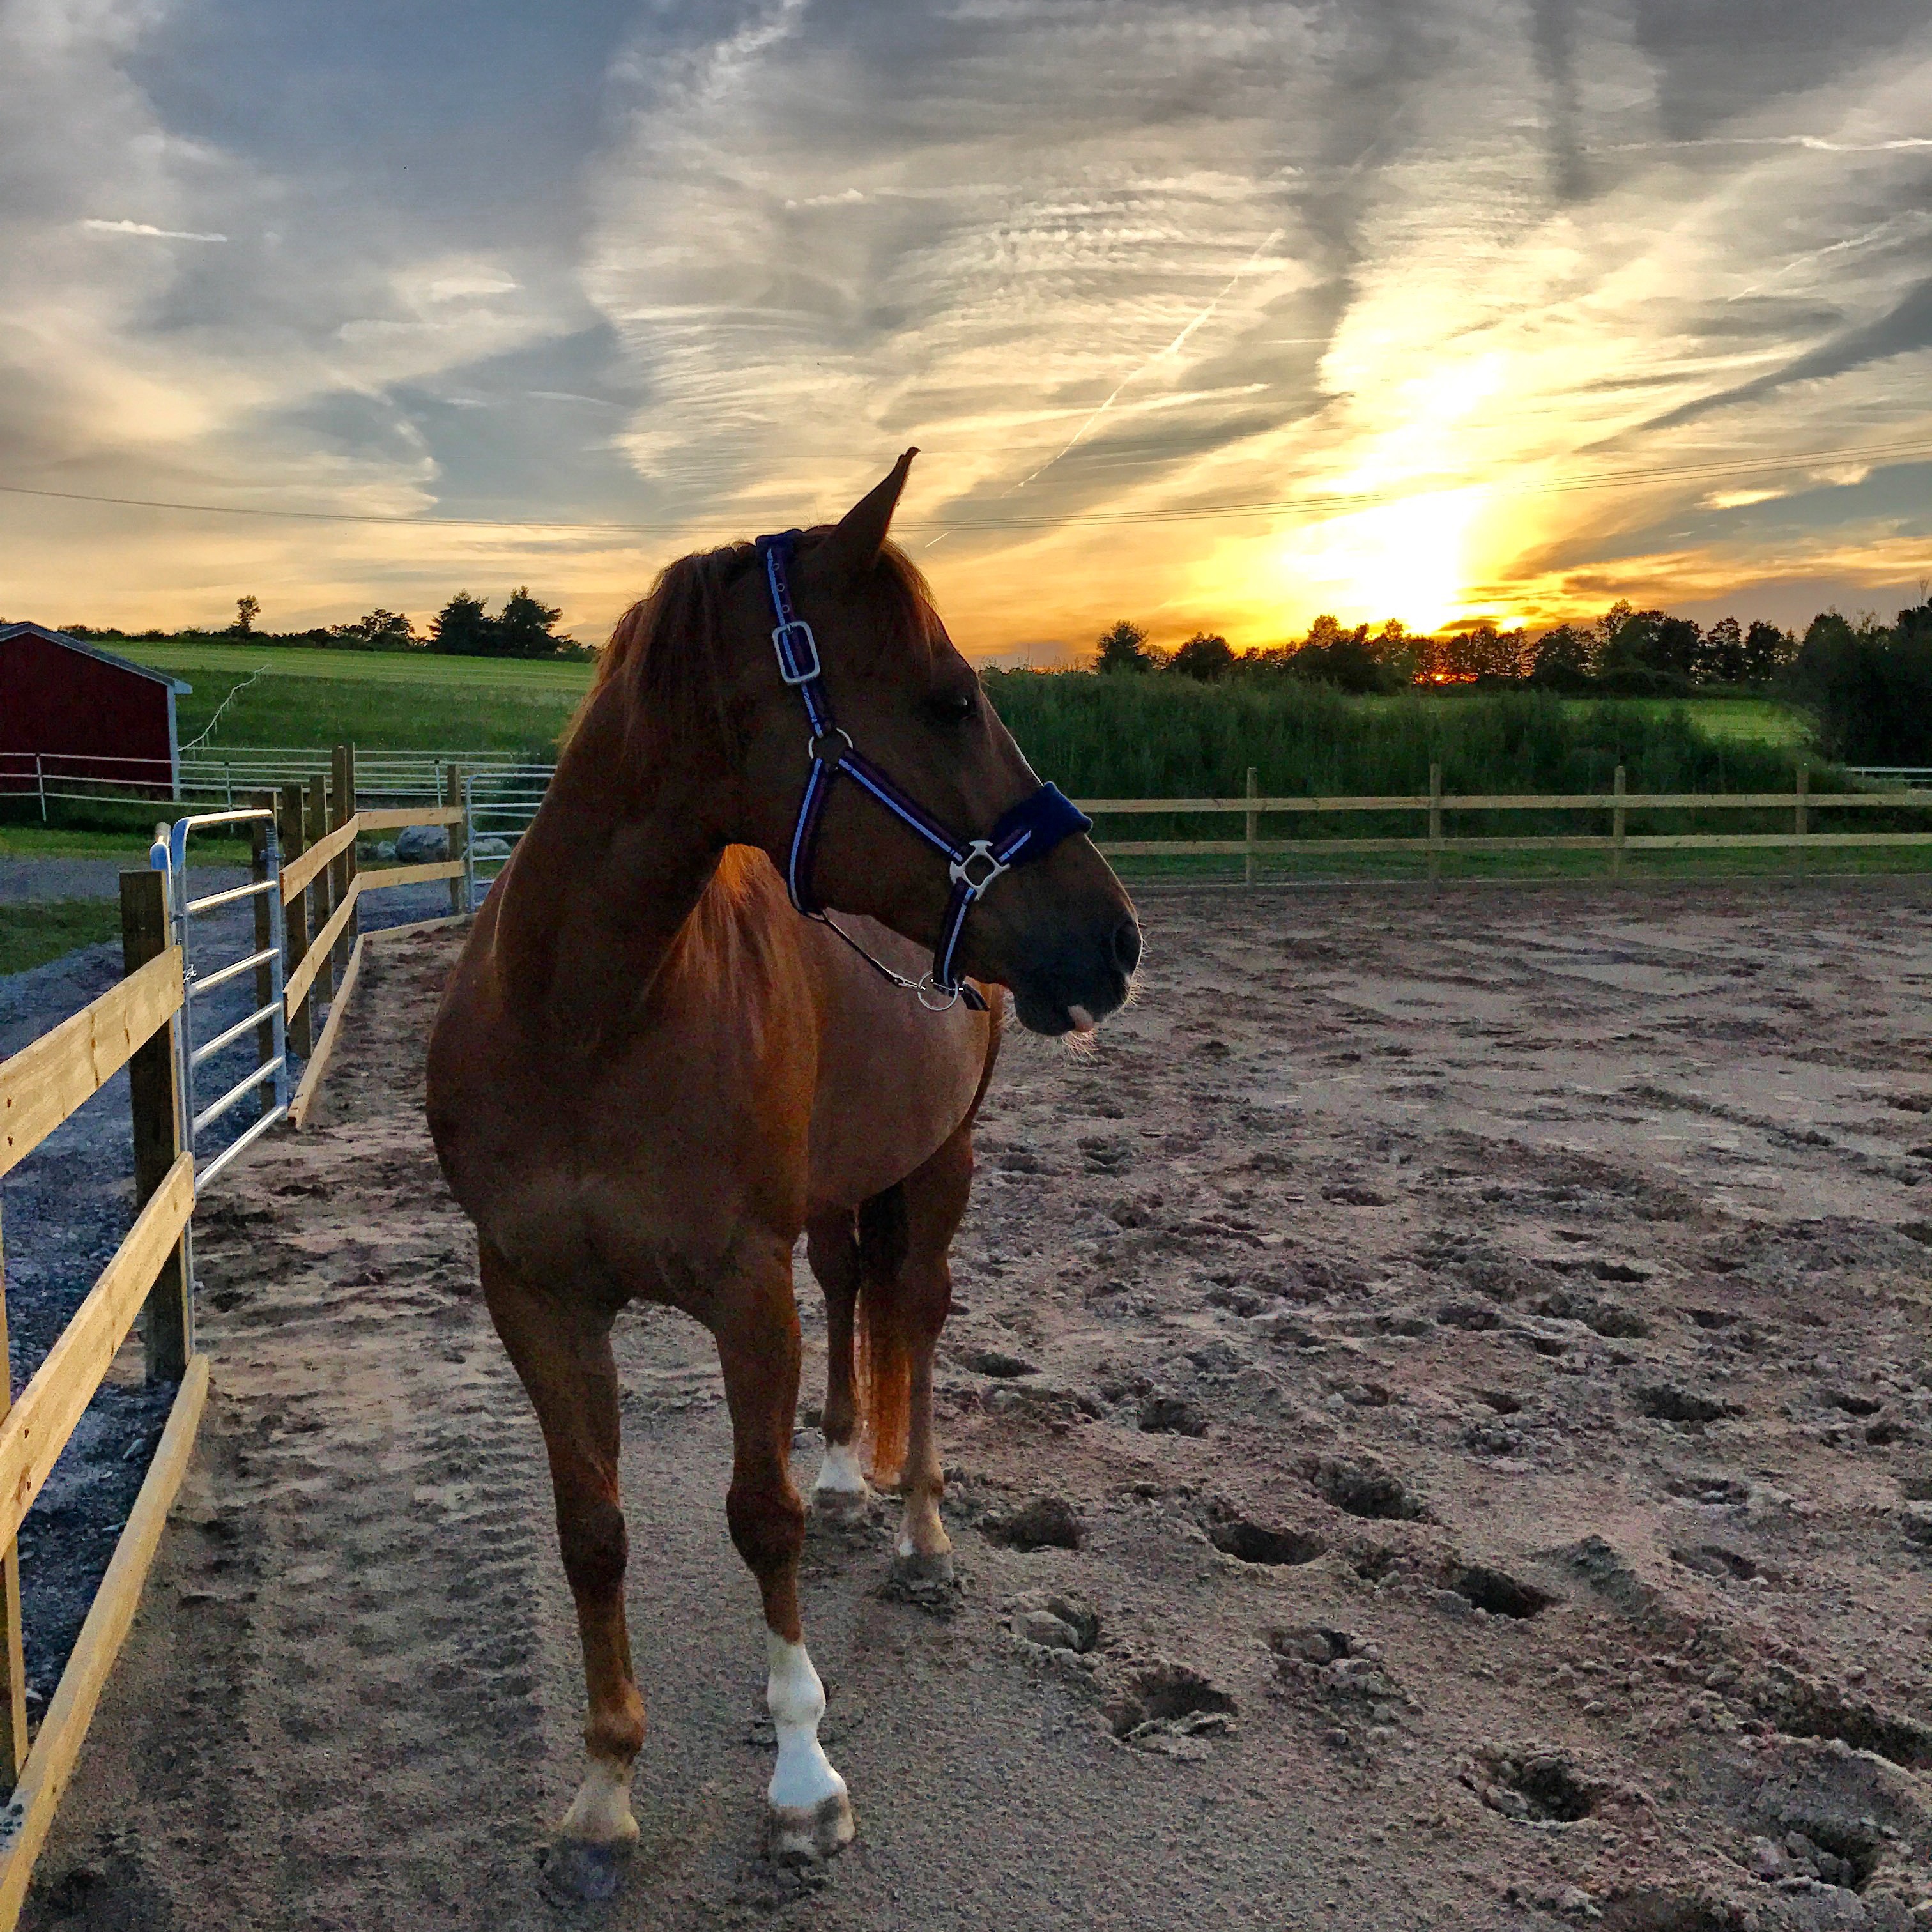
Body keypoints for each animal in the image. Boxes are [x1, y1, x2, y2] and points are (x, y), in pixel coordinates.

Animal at [425, 451, 1139, 1897]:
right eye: (948, 698)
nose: (1114, 937)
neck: (585, 1019)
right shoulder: (533, 1294)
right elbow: (593, 1528)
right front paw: (603, 1792)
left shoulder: (741, 1292)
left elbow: (760, 1519)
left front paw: (804, 1777)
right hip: (840, 1190)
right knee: (855, 1289)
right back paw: (849, 1475)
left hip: (940, 1163)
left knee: (914, 1316)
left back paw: (920, 1533)